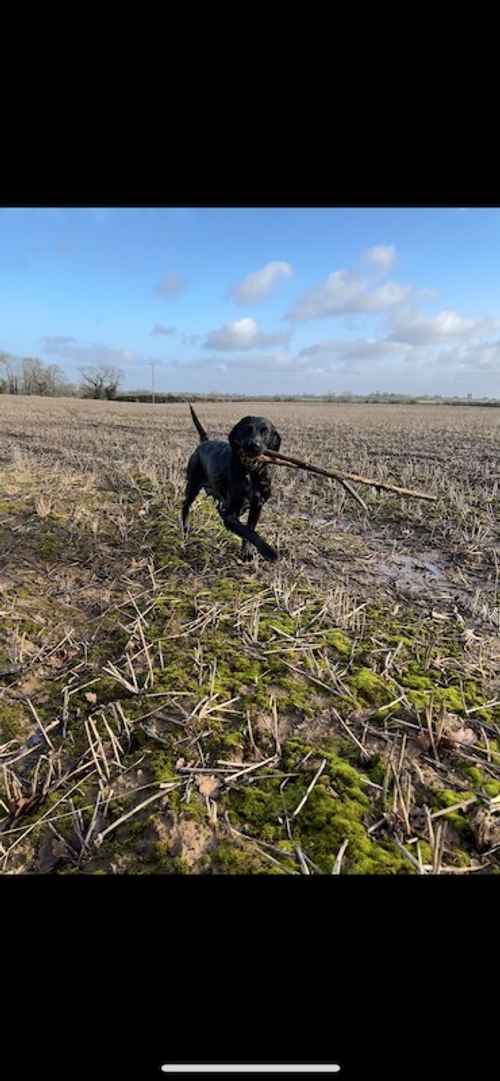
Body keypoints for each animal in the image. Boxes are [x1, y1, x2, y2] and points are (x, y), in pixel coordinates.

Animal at [182, 406, 280, 566]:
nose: (254, 445)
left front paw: (246, 552)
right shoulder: (229, 514)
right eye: (247, 429)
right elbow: (248, 531)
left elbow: (250, 529)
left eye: (265, 431)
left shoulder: (257, 506)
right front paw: (268, 551)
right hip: (193, 486)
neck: (249, 474)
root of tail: (204, 443)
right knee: (185, 505)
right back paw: (185, 528)